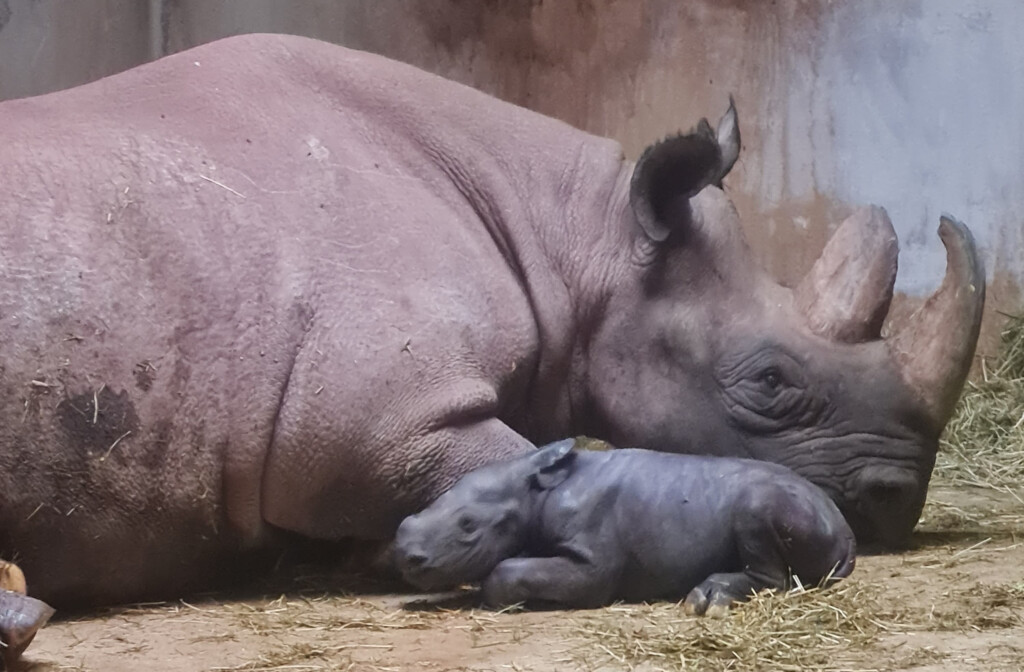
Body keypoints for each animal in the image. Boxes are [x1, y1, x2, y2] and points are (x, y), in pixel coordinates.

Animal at [393, 438, 856, 610]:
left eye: (468, 525)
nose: (405, 556)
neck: (534, 491)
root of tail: (846, 527)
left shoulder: (592, 562)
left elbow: (507, 571)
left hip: (779, 501)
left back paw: (706, 599)